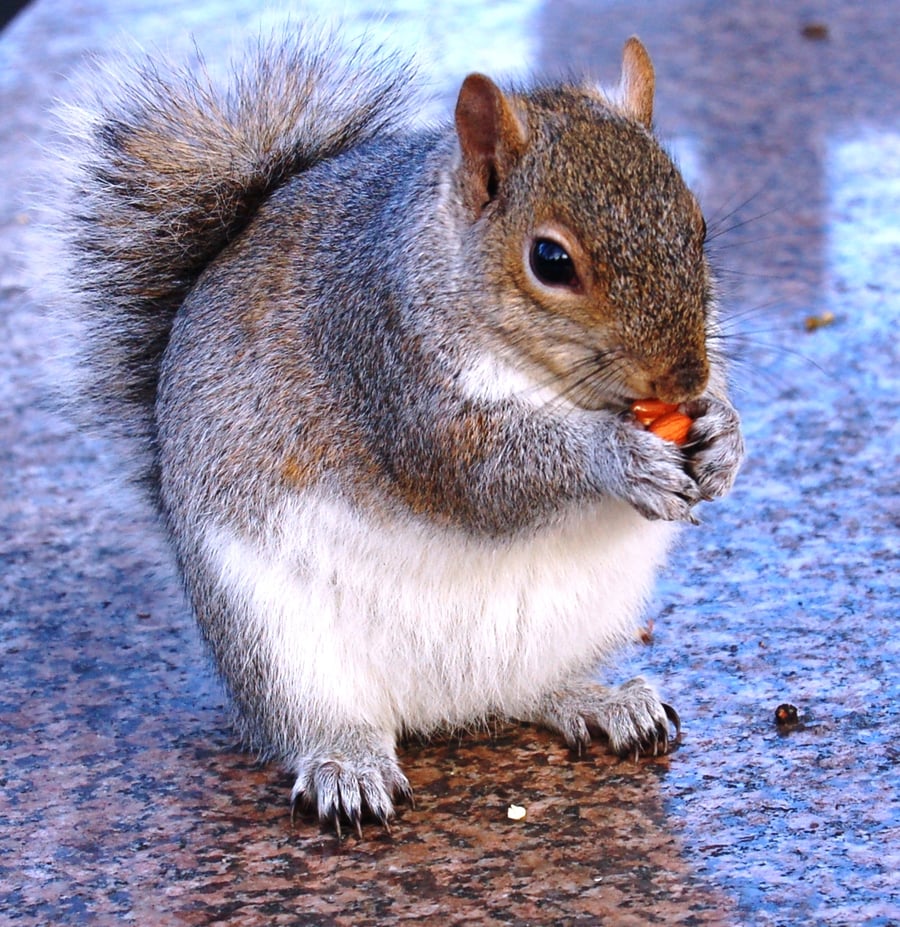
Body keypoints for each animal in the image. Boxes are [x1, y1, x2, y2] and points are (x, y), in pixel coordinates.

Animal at [45, 30, 744, 835]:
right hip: (275, 642)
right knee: (320, 720)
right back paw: (348, 767)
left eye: (699, 228)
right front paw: (619, 457)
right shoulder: (390, 368)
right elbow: (486, 476)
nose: (683, 380)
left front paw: (725, 435)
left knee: (530, 691)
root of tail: (449, 705)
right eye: (551, 260)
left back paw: (600, 702)